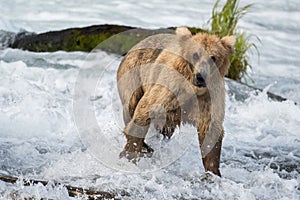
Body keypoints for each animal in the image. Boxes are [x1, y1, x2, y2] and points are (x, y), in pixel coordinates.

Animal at [116, 27, 233, 176]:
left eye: (213, 57)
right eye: (195, 55)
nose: (201, 76)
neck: (193, 88)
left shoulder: (209, 99)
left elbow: (211, 131)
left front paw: (213, 172)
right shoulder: (169, 88)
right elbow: (145, 111)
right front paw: (129, 155)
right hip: (134, 73)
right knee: (131, 105)